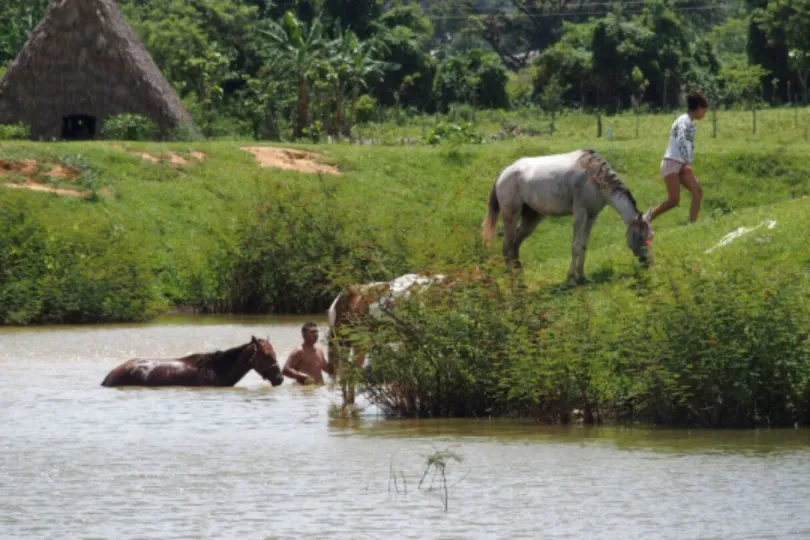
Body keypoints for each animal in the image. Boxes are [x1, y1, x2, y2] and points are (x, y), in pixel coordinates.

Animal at [480, 148, 652, 282]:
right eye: (640, 236)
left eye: (652, 236)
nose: (649, 262)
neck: (595, 177)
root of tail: (502, 174)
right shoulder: (580, 214)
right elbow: (575, 246)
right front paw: (570, 277)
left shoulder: (592, 216)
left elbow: (584, 244)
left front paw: (581, 276)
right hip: (511, 215)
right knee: (507, 246)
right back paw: (513, 278)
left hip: (532, 218)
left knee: (515, 244)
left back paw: (519, 273)